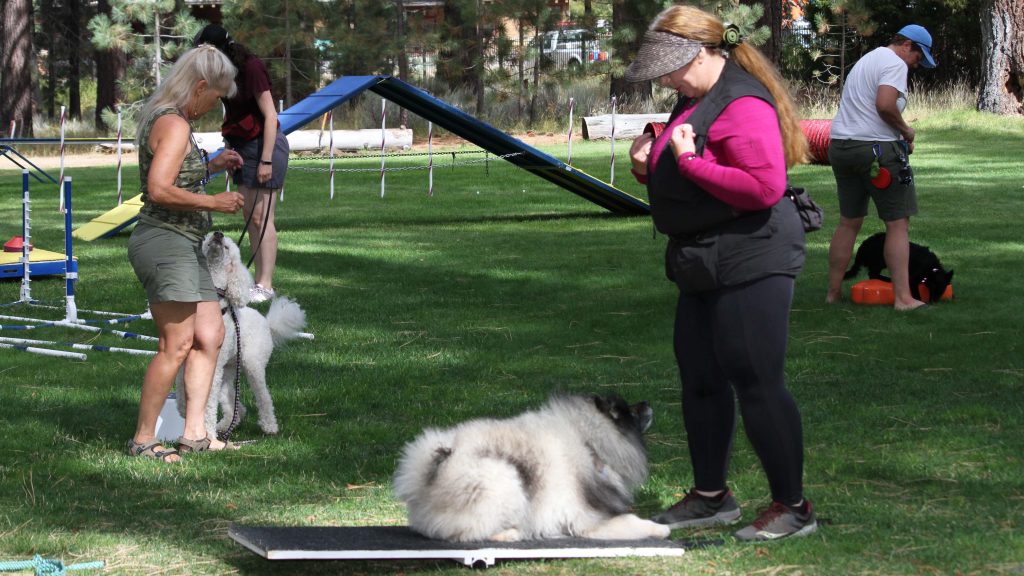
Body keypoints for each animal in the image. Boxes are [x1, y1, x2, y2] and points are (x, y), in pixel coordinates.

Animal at [391, 391, 671, 541]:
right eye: (630, 412)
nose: (647, 402)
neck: (590, 442)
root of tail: (426, 477)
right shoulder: (588, 519)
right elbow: (632, 520)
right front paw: (660, 528)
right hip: (505, 478)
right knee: (471, 532)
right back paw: (511, 534)